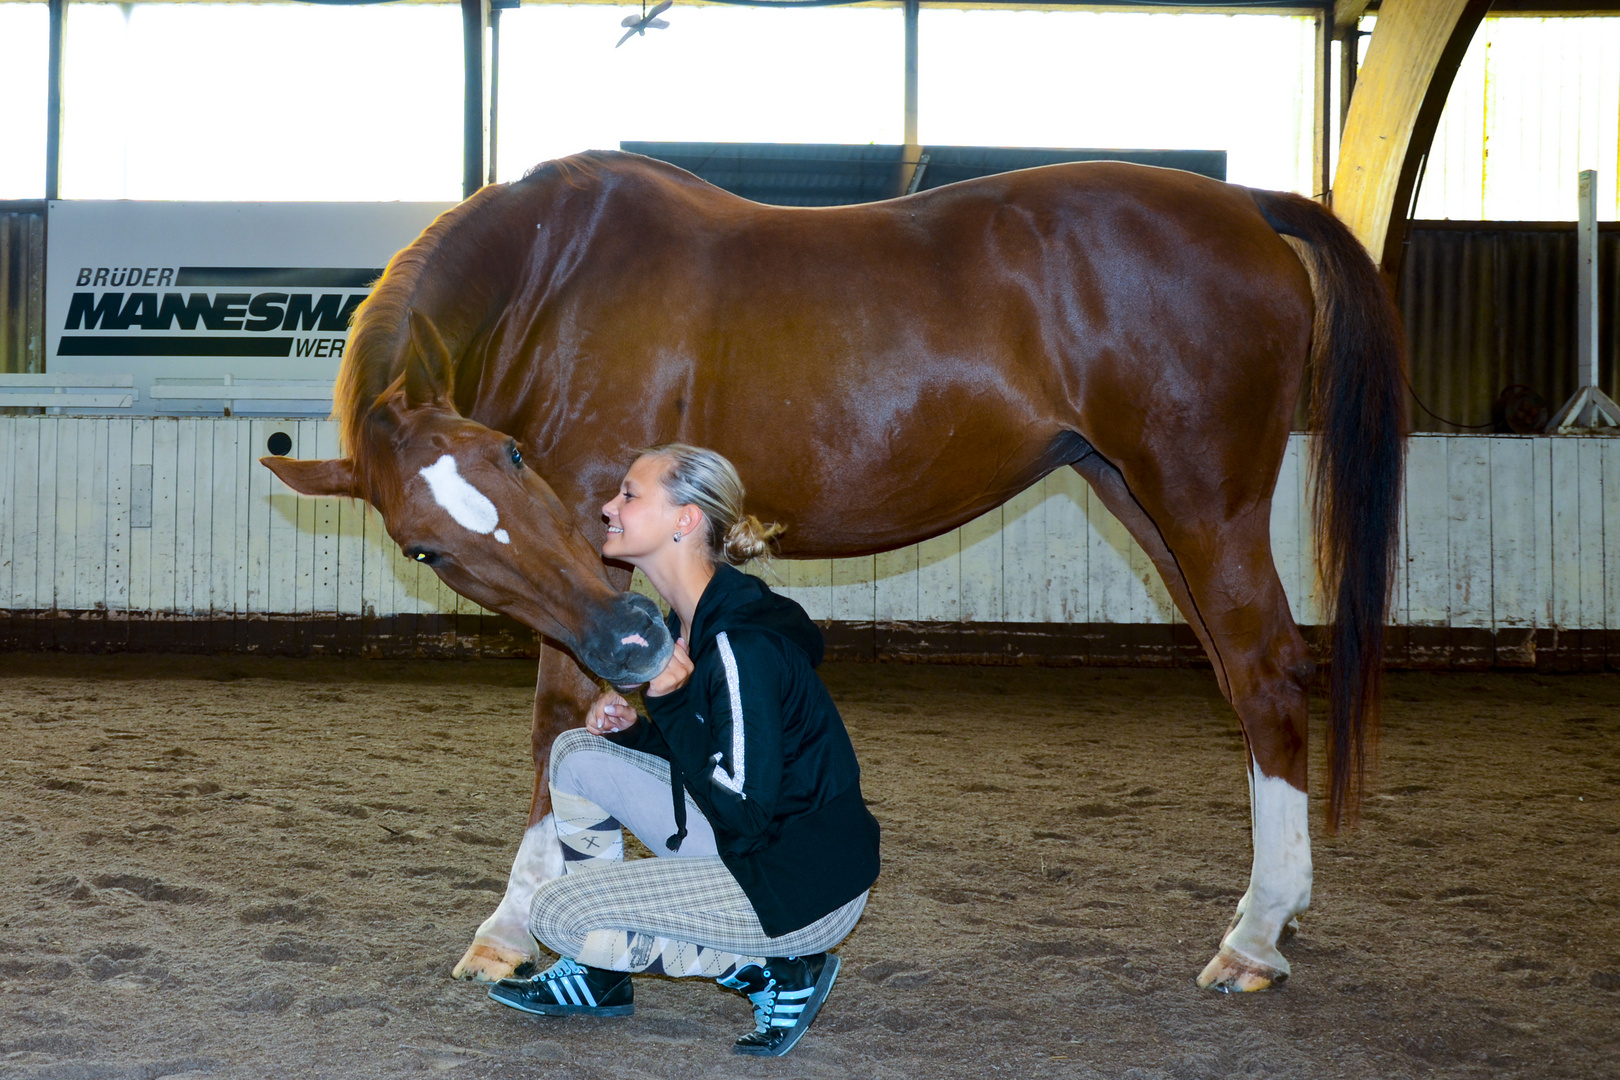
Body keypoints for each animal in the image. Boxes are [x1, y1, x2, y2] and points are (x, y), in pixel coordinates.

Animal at [265, 148, 1406, 990]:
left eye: (511, 459)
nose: (634, 638)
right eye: (427, 545)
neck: (553, 281)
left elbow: (554, 722)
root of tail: (1247, 203)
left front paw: (511, 924)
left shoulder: (593, 561)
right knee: (1241, 680)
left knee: (1264, 674)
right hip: (1141, 497)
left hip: (1204, 502)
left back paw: (1253, 938)